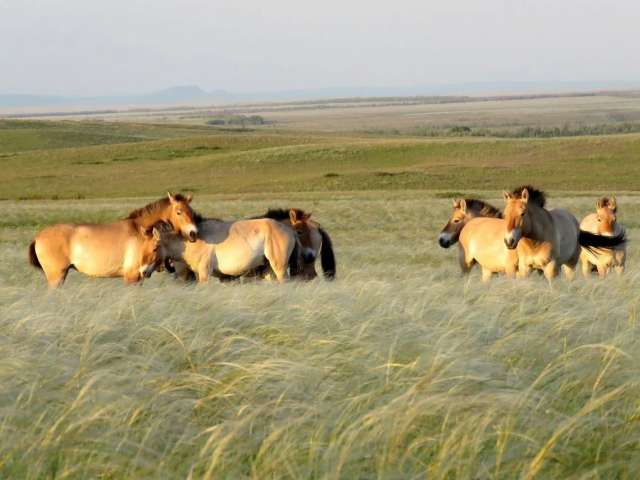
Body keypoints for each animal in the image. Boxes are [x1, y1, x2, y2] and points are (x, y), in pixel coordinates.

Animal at [28, 193, 198, 287]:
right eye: (179, 212)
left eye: (191, 211)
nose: (193, 233)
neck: (140, 231)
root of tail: (38, 237)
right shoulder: (132, 277)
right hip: (56, 277)